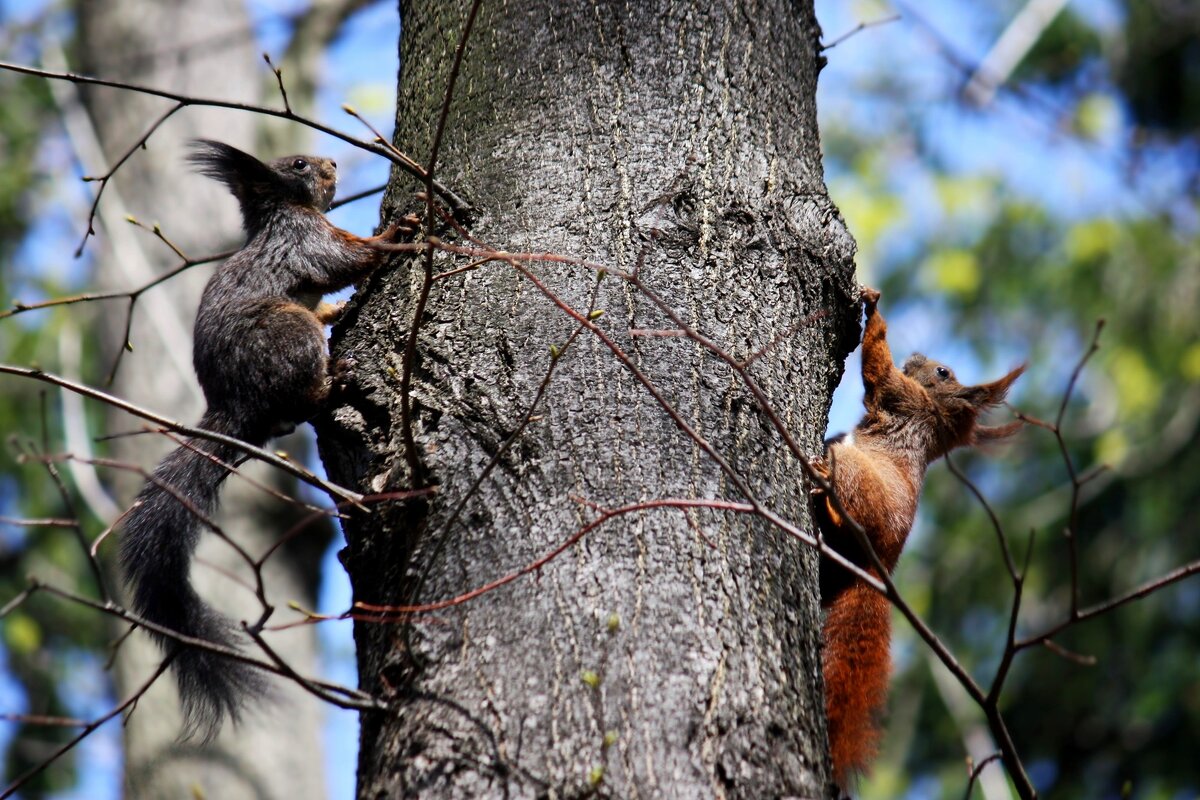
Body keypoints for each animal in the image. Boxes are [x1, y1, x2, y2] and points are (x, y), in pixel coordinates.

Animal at [120, 140, 412, 743]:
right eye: (298, 165)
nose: (333, 163)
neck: (280, 212)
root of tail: (237, 406)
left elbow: (331, 288)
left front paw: (339, 308)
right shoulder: (305, 239)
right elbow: (348, 258)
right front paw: (404, 229)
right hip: (287, 331)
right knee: (301, 391)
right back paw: (334, 380)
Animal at [806, 287, 1022, 786]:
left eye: (943, 372)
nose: (920, 357)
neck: (935, 419)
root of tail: (879, 566)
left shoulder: (901, 397)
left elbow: (876, 367)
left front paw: (873, 310)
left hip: (857, 480)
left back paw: (826, 488)